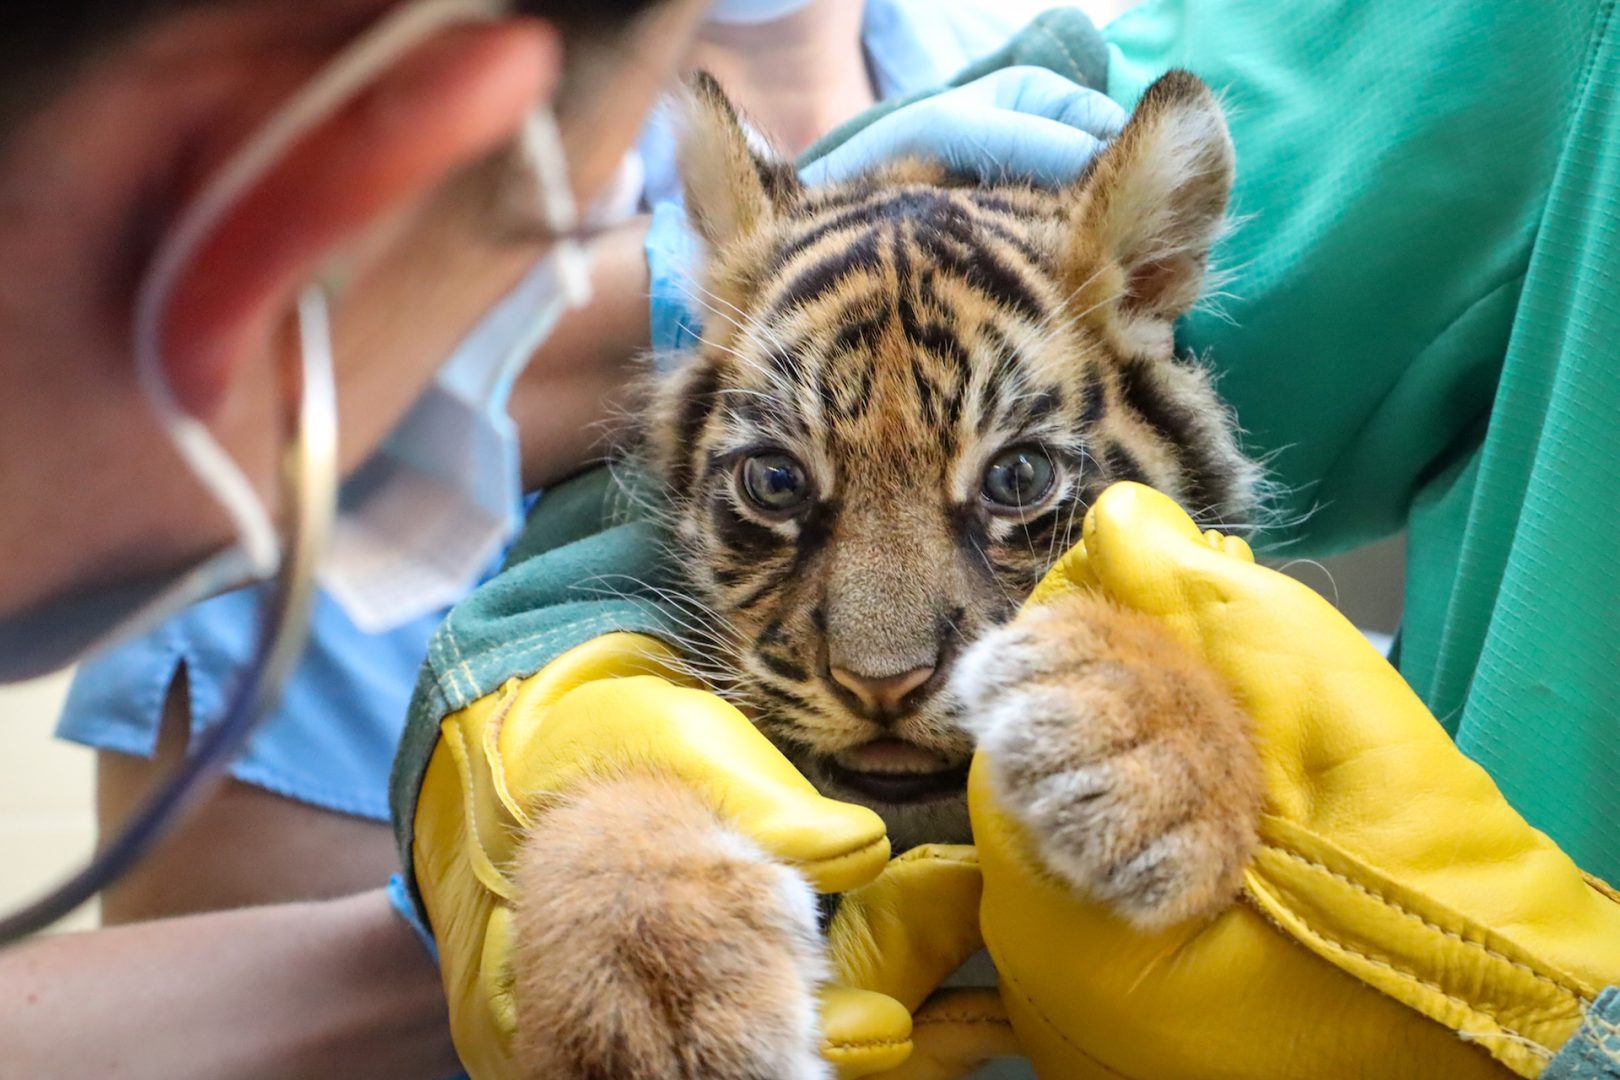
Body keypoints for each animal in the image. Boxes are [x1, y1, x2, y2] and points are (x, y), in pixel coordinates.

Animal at [506, 69, 1266, 1079]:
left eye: (1017, 478)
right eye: (777, 482)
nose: (883, 686)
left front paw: (1145, 763)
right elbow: (628, 751)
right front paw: (652, 994)